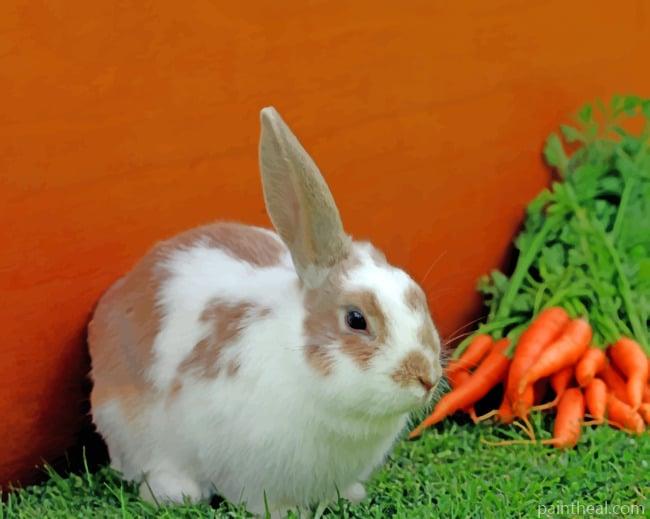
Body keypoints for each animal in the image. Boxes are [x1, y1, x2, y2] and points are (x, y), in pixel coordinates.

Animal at [88, 107, 443, 517]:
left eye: (415, 293)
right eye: (356, 320)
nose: (427, 377)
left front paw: (352, 495)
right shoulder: (248, 470)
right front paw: (290, 513)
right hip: (127, 425)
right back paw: (176, 491)